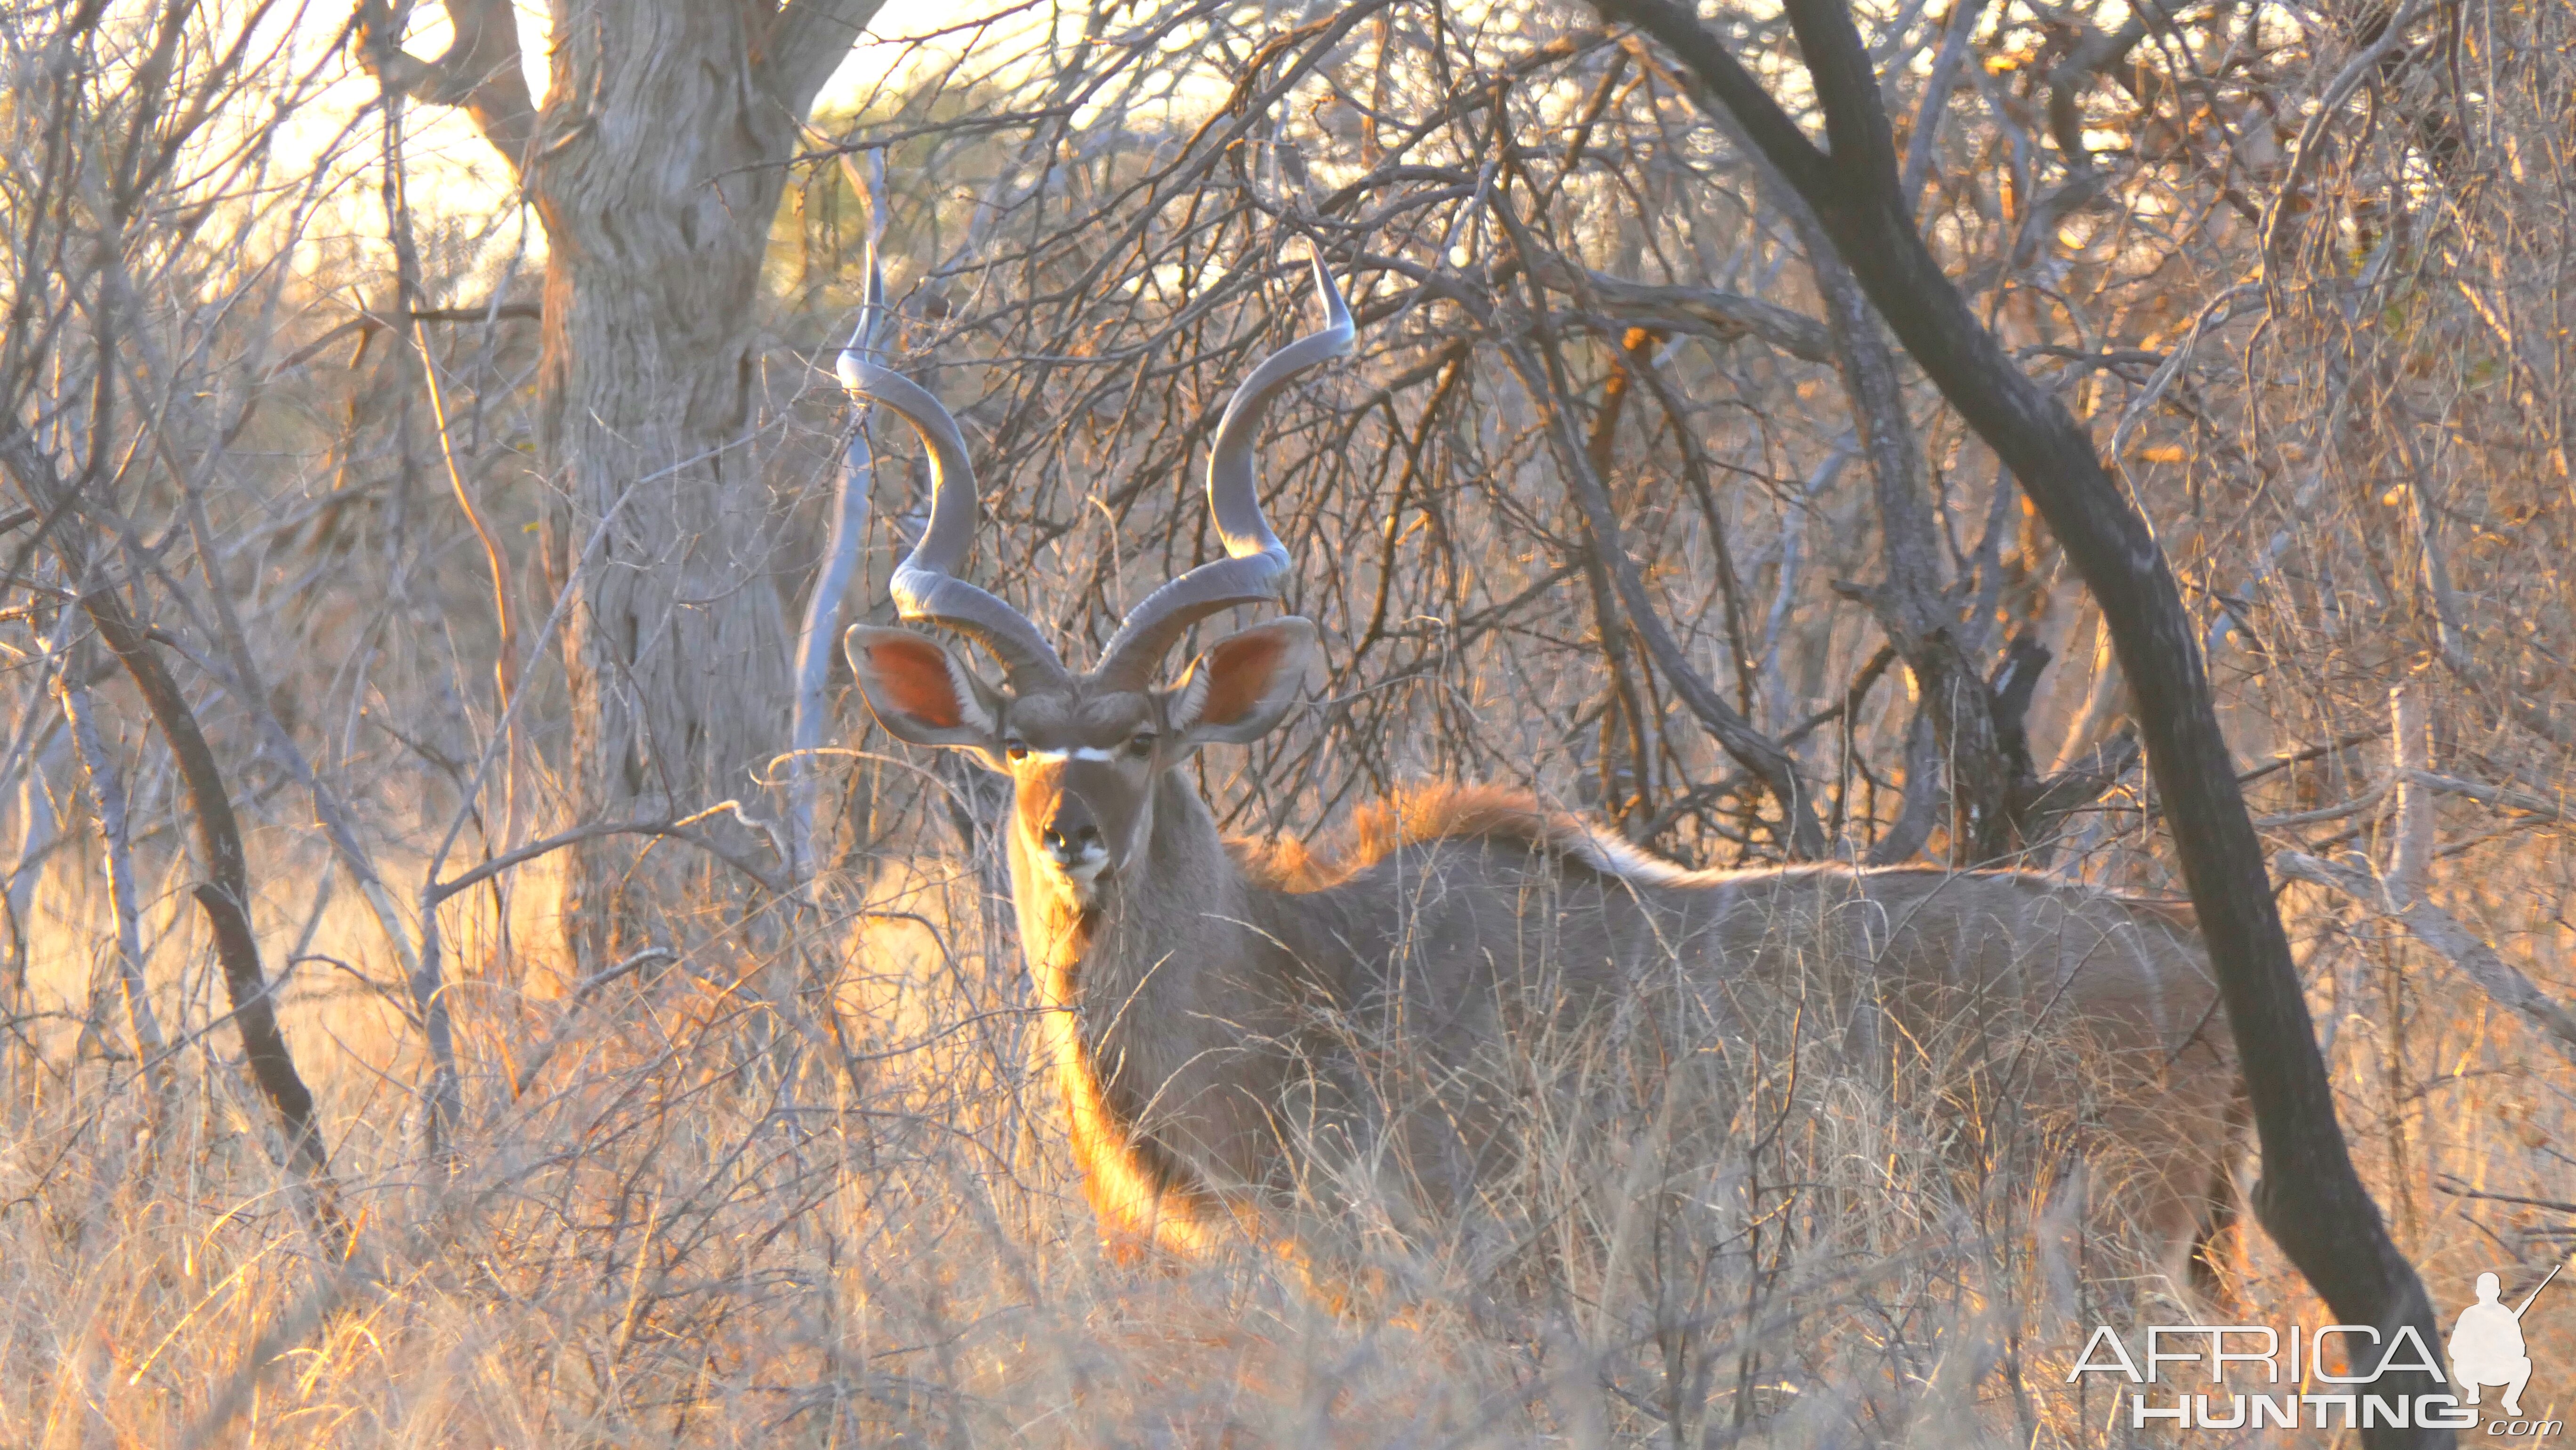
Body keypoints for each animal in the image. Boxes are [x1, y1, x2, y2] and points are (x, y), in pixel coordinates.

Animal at [839, 261, 2236, 1303]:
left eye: (1141, 736)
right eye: (1015, 741)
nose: (1068, 832)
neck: (1302, 975)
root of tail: (2188, 958)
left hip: (2104, 1257)